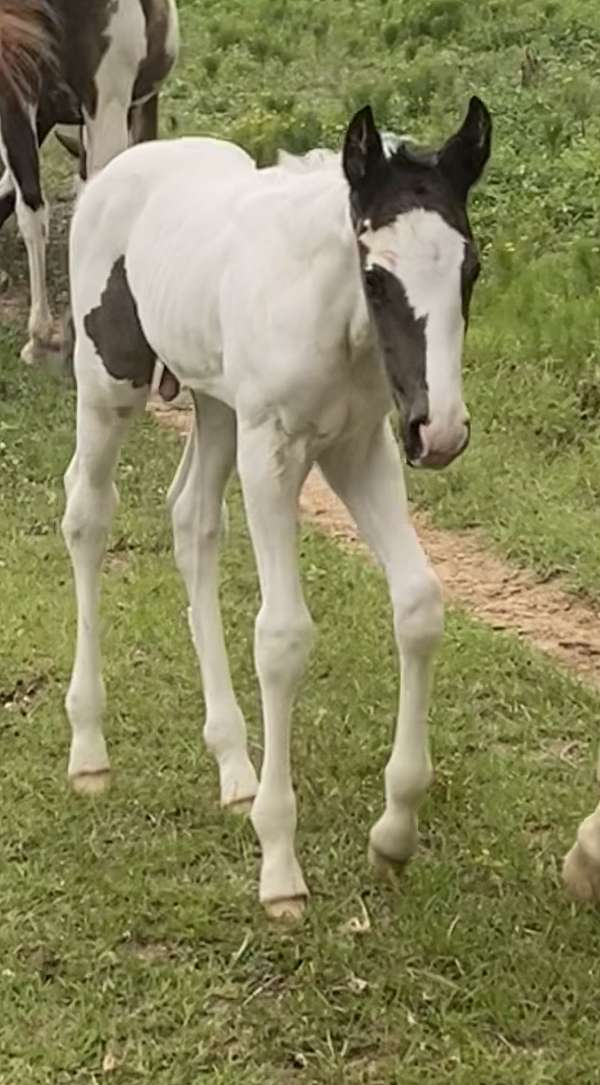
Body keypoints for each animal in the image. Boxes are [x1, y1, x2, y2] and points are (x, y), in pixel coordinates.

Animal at [62, 98, 492, 918]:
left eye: (471, 268)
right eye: (376, 275)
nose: (442, 432)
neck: (333, 318)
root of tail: (116, 172)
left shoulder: (360, 450)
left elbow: (419, 604)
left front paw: (394, 830)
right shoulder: (274, 454)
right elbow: (284, 636)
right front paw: (281, 863)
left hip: (216, 403)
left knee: (192, 519)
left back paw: (234, 762)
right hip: (110, 384)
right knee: (87, 515)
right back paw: (90, 748)